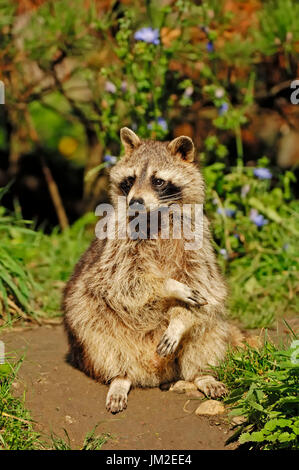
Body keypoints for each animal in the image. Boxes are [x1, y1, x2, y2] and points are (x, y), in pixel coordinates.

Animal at [62, 127, 243, 412]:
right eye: (130, 179)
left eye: (158, 181)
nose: (135, 201)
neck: (156, 215)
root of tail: (154, 373)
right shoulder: (116, 247)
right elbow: (123, 281)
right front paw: (170, 285)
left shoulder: (198, 243)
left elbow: (205, 286)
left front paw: (180, 319)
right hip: (85, 318)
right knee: (97, 336)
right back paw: (120, 377)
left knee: (209, 327)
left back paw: (201, 374)